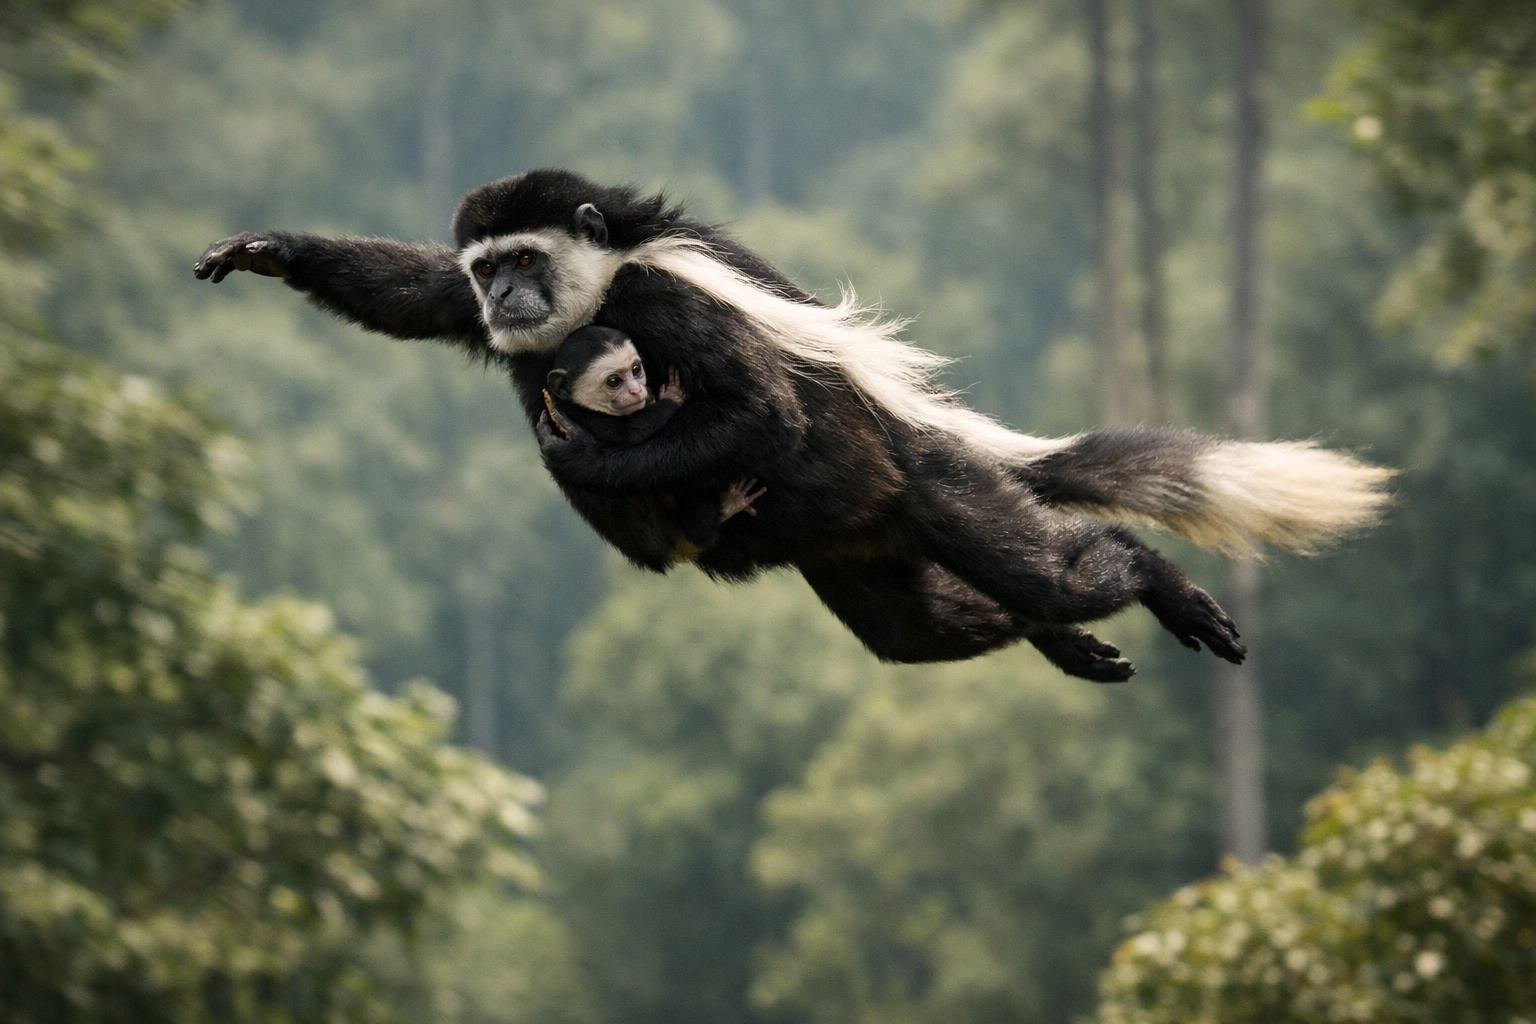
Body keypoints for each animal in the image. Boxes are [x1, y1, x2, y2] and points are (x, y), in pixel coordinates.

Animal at [545, 324, 768, 554]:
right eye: (614, 381)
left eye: (636, 369)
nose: (636, 391)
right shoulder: (583, 415)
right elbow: (630, 432)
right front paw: (673, 395)